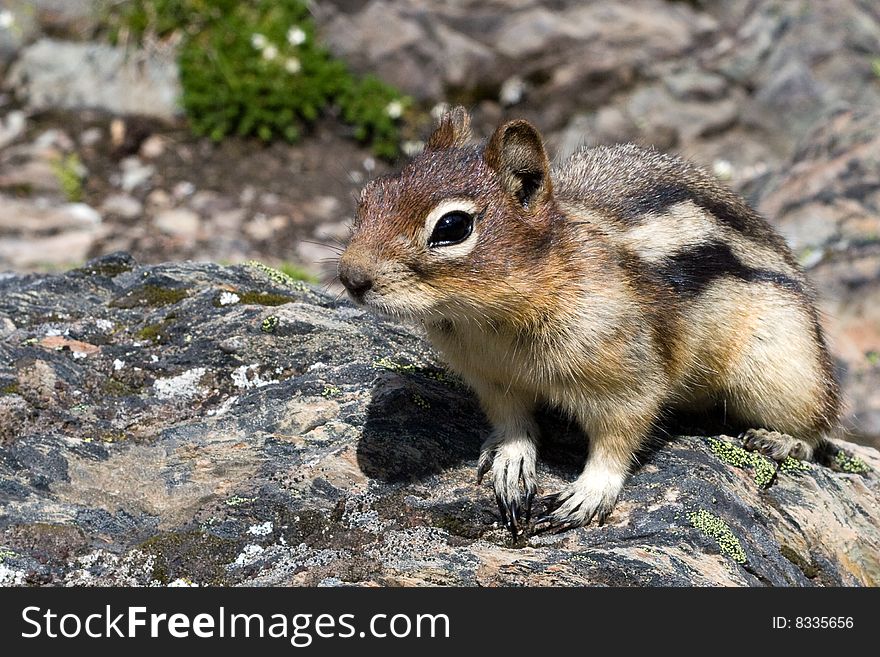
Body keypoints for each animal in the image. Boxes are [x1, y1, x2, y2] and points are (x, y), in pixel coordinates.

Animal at [336, 106, 840, 540]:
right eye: (368, 197)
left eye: (452, 227)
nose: (351, 278)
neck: (489, 320)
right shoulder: (492, 379)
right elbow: (511, 422)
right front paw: (511, 464)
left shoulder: (630, 374)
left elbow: (619, 436)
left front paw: (589, 494)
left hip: (781, 368)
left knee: (818, 430)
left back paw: (779, 441)